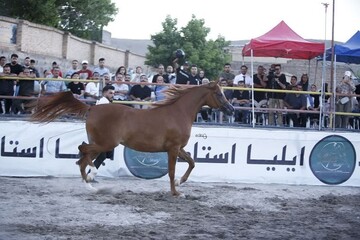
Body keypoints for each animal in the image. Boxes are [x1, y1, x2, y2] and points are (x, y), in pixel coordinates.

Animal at [30, 80, 233, 195]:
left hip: (100, 143)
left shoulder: (178, 148)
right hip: (105, 143)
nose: (231, 109)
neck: (179, 113)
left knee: (82, 158)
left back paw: (91, 185)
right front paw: (176, 192)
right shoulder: (173, 149)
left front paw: (179, 183)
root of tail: (92, 108)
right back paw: (92, 176)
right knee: (83, 151)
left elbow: (191, 162)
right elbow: (172, 170)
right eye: (218, 93)